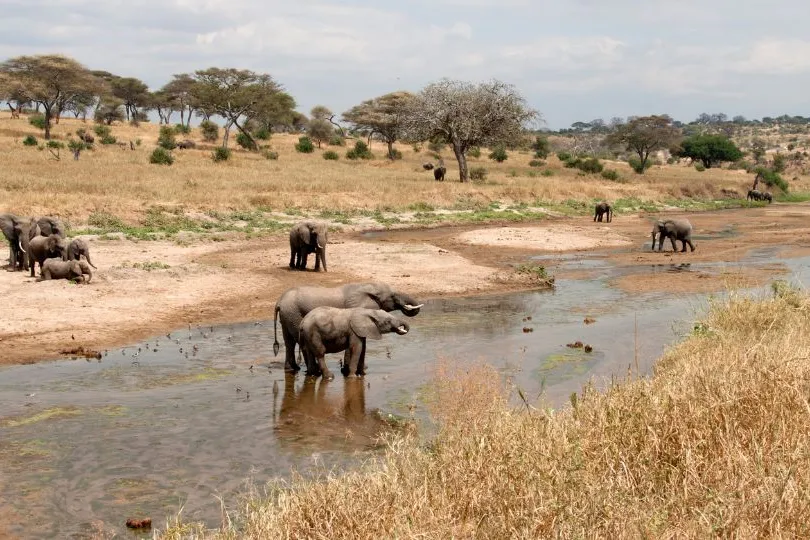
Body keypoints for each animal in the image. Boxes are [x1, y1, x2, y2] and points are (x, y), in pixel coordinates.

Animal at [274, 280, 422, 374]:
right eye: (392, 296)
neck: (365, 285)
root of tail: (279, 301)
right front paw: (350, 370)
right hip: (294, 314)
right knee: (300, 342)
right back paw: (313, 370)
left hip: (287, 315)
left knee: (289, 342)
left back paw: (292, 369)